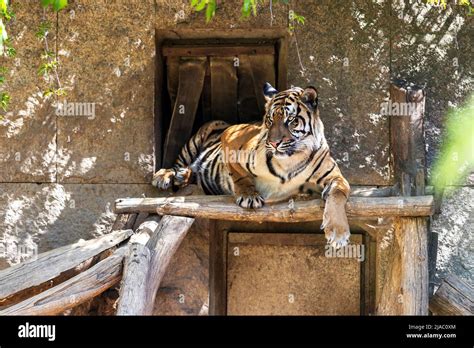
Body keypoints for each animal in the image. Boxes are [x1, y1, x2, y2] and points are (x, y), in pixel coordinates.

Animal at [153, 83, 352, 247]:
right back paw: (165, 176)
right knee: (179, 163)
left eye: (291, 120)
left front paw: (338, 232)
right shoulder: (231, 136)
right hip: (200, 137)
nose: (274, 143)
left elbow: (337, 194)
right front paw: (249, 196)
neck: (291, 159)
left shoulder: (335, 177)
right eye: (270, 120)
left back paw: (183, 176)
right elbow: (238, 174)